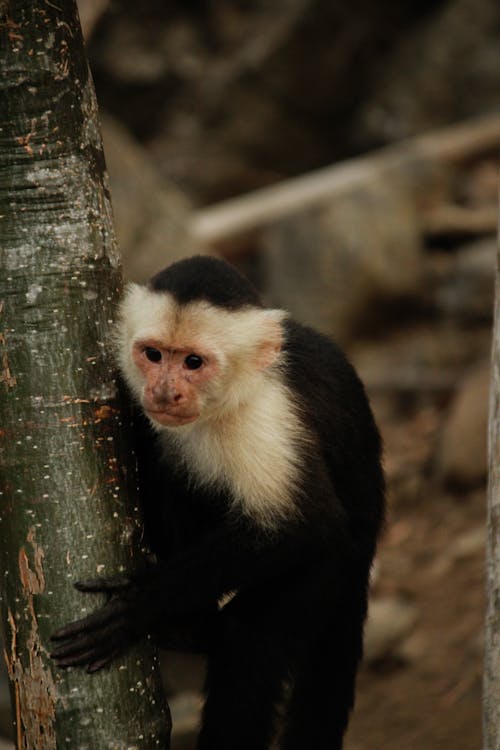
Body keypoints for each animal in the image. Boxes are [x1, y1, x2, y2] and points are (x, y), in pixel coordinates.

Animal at [50, 256, 384, 748]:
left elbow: (305, 525)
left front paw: (139, 603)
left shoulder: (264, 419)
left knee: (249, 645)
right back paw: (194, 629)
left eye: (194, 362)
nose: (164, 392)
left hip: (329, 575)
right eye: (153, 355)